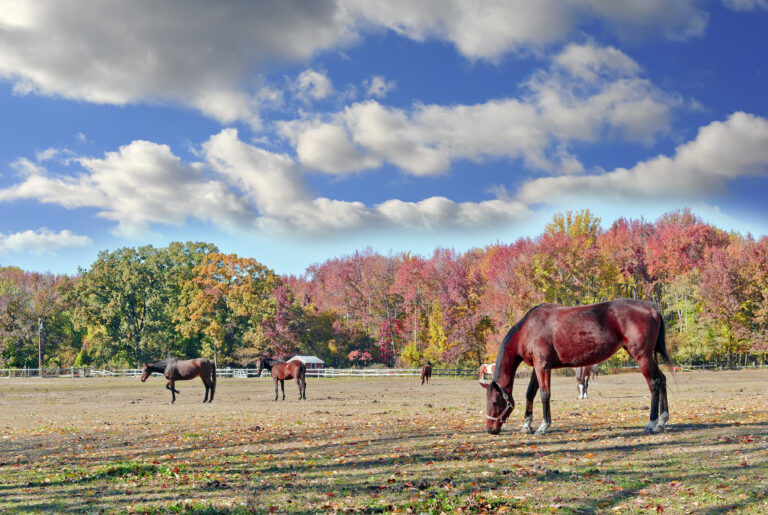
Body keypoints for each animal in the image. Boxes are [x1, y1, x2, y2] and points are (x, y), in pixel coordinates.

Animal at [486, 300, 672, 438]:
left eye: (495, 401)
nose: (490, 429)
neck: (529, 328)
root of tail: (651, 308)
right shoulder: (537, 367)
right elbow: (530, 393)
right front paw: (526, 425)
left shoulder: (543, 366)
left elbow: (544, 395)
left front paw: (543, 426)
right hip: (646, 357)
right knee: (662, 380)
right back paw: (662, 422)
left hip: (642, 356)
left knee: (654, 383)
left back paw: (651, 423)